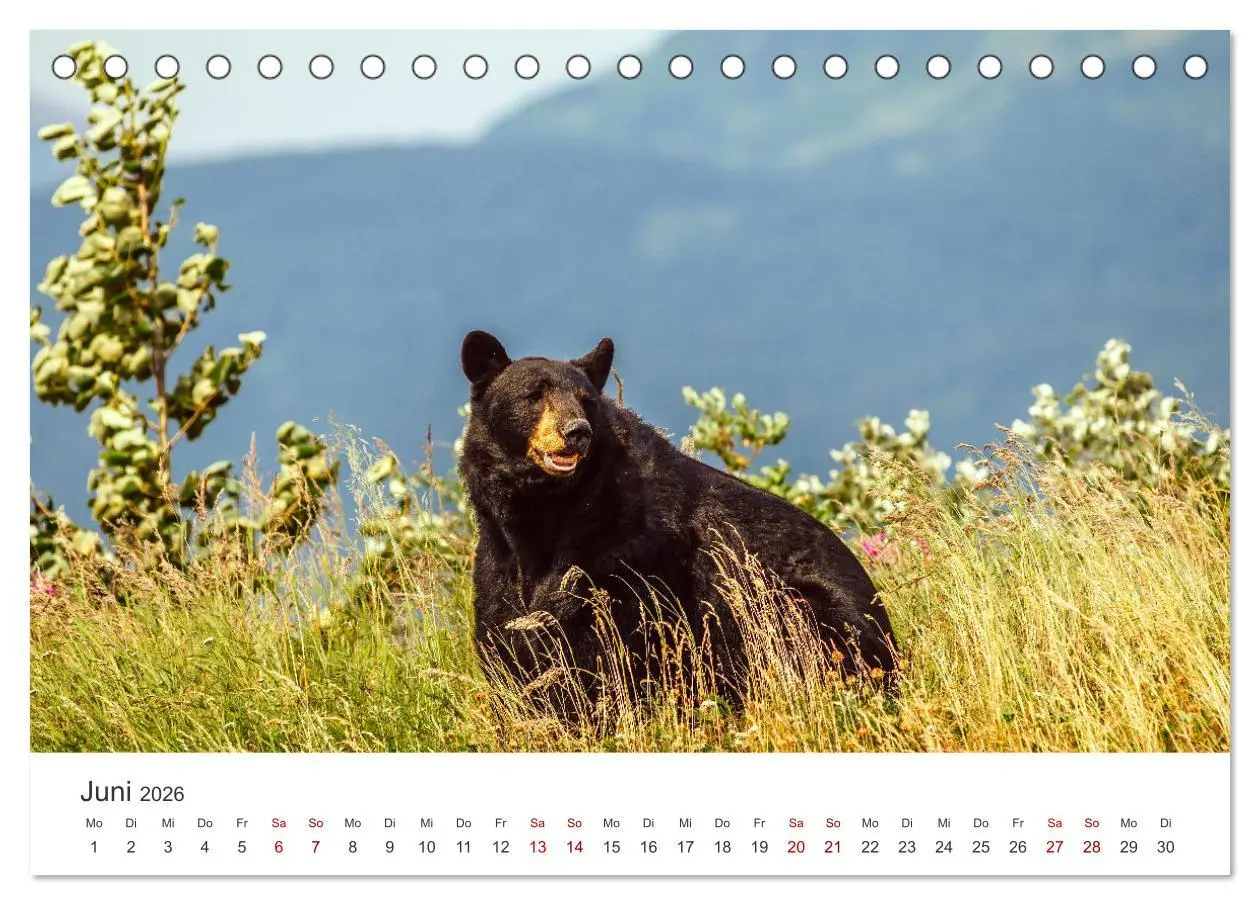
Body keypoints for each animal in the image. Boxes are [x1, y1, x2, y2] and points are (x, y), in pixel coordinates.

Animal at [457, 329, 899, 709]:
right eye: (533, 395)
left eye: (586, 400)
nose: (576, 431)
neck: (547, 512)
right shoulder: (498, 555)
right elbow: (505, 633)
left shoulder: (626, 552)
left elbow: (604, 641)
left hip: (800, 609)